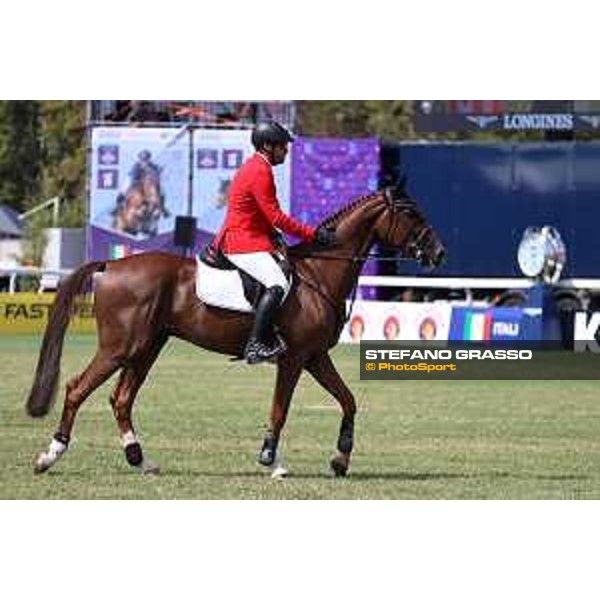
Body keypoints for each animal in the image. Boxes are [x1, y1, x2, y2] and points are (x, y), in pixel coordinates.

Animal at [27, 182, 446, 478]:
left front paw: (340, 458)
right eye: (410, 213)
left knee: (121, 399)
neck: (319, 272)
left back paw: (140, 460)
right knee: (77, 389)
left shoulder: (315, 356)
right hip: (120, 348)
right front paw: (271, 460)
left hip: (147, 347)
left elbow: (348, 400)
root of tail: (111, 266)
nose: (439, 253)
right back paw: (50, 456)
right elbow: (280, 409)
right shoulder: (294, 358)